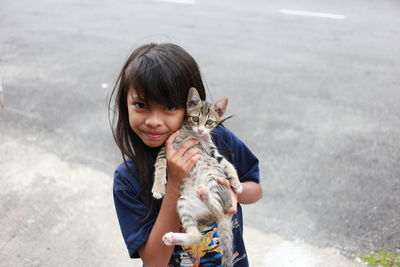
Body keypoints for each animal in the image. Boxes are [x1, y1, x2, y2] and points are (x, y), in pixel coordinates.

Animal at [152, 88, 242, 267]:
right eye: (195, 118)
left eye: (209, 122)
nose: (200, 130)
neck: (192, 133)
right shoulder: (166, 148)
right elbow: (160, 165)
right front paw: (158, 187)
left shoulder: (210, 148)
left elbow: (226, 162)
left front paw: (236, 182)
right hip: (183, 202)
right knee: (197, 236)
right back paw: (172, 237)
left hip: (213, 179)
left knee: (218, 210)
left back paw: (205, 195)